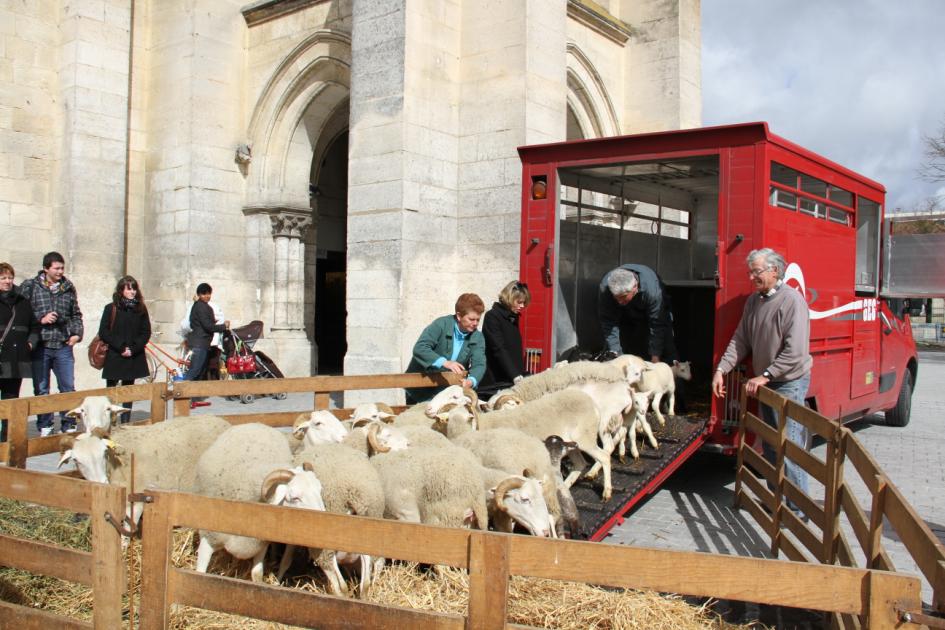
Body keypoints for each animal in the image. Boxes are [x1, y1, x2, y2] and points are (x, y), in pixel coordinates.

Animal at [57, 418, 232, 536]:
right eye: (76, 460)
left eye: (104, 452)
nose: (103, 484)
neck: (115, 463)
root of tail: (225, 424)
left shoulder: (137, 500)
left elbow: (126, 534)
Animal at [194, 422, 326, 584]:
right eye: (294, 497)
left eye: (319, 491)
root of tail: (256, 424)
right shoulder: (208, 538)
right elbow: (200, 573)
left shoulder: (260, 544)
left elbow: (257, 575)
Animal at [440, 390, 616, 504]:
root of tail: (592, 403)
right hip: (571, 445)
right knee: (580, 464)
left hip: (585, 438)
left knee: (604, 457)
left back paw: (607, 493)